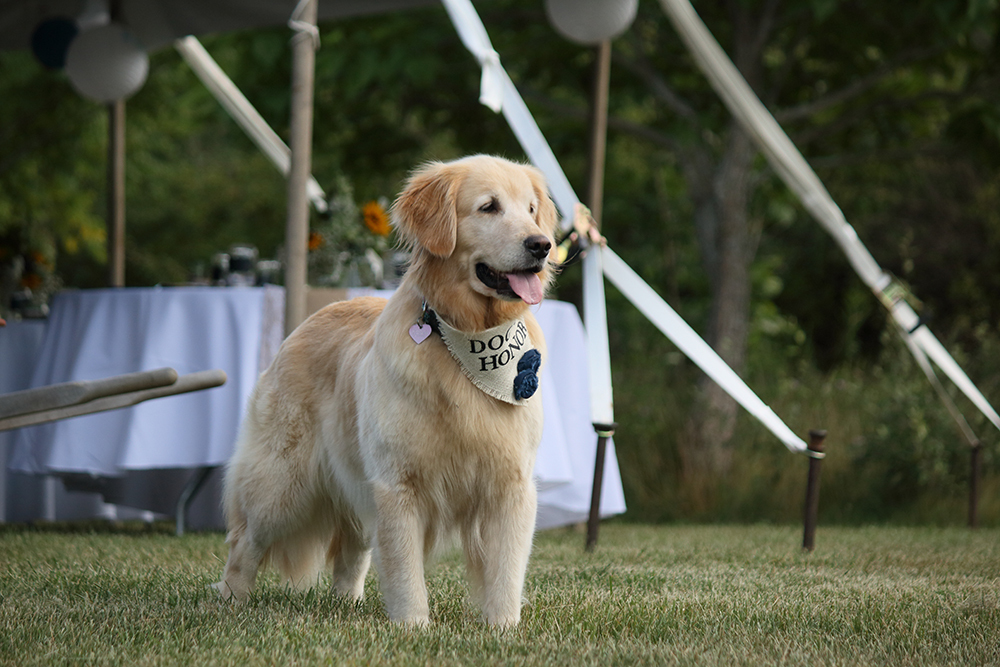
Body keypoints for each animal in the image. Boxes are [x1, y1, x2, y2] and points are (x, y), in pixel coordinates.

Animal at [214, 155, 560, 628]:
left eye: (530, 210)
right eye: (489, 207)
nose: (542, 245)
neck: (467, 341)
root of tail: (307, 320)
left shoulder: (510, 484)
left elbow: (505, 570)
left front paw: (502, 629)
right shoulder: (397, 484)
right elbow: (404, 569)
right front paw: (413, 627)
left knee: (352, 552)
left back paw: (346, 603)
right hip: (281, 484)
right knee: (244, 541)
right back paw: (231, 601)